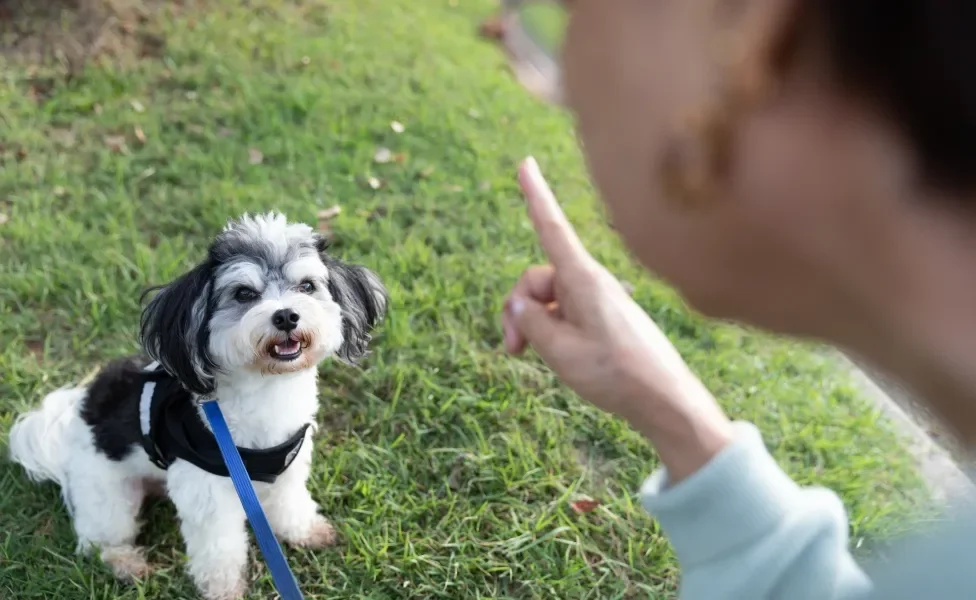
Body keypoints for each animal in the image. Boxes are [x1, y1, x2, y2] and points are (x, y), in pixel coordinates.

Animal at [9, 213, 388, 600]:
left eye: (307, 286)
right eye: (244, 294)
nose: (285, 316)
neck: (266, 388)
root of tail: (69, 428)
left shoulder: (288, 468)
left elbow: (290, 503)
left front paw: (306, 532)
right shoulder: (208, 490)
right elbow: (219, 545)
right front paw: (224, 588)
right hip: (106, 495)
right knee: (98, 540)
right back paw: (125, 563)